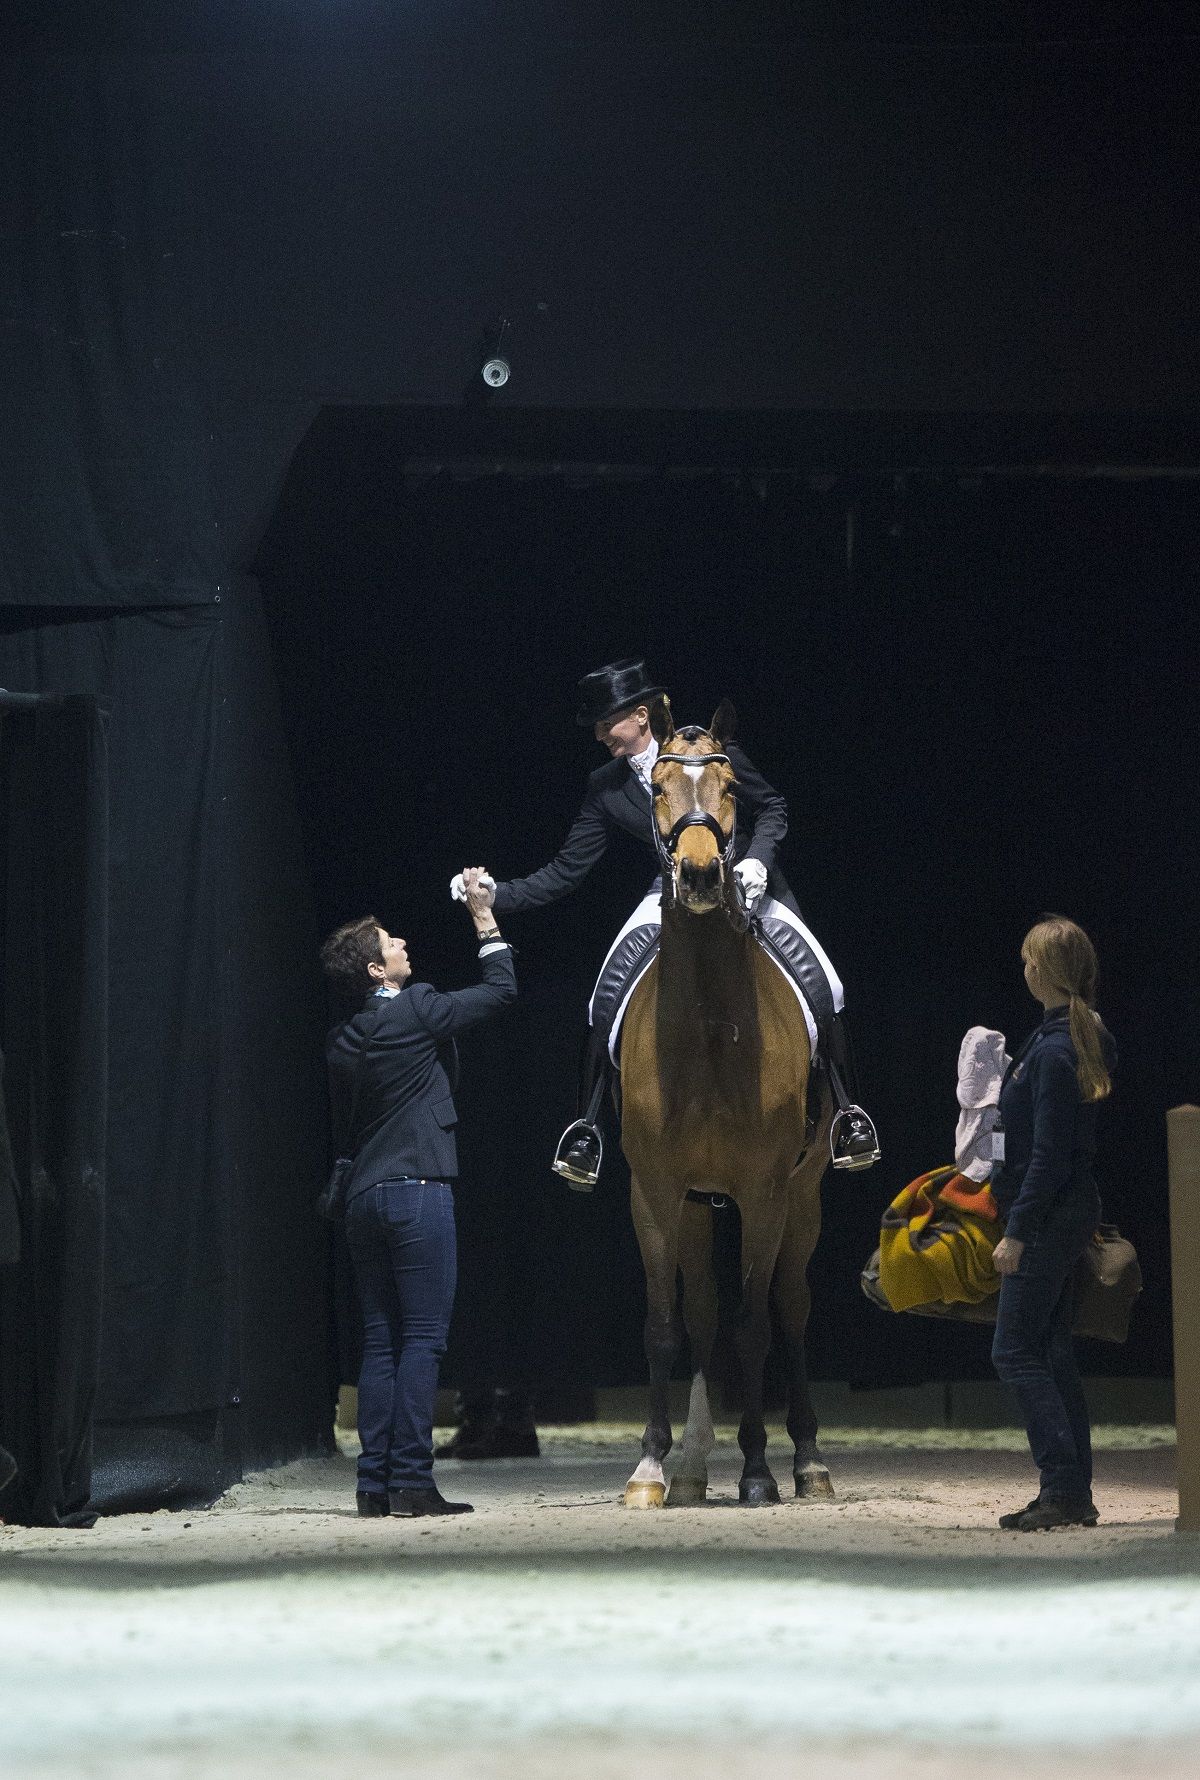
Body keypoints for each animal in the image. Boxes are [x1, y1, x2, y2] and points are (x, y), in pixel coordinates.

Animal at [617, 698, 835, 1508]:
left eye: (733, 785)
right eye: (655, 791)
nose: (706, 873)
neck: (709, 1027)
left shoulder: (766, 1191)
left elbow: (755, 1327)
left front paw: (758, 1471)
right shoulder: (654, 1190)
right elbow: (666, 1324)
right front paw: (651, 1466)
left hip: (804, 1194)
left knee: (791, 1308)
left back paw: (808, 1460)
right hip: (694, 1204)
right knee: (705, 1310)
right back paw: (687, 1465)